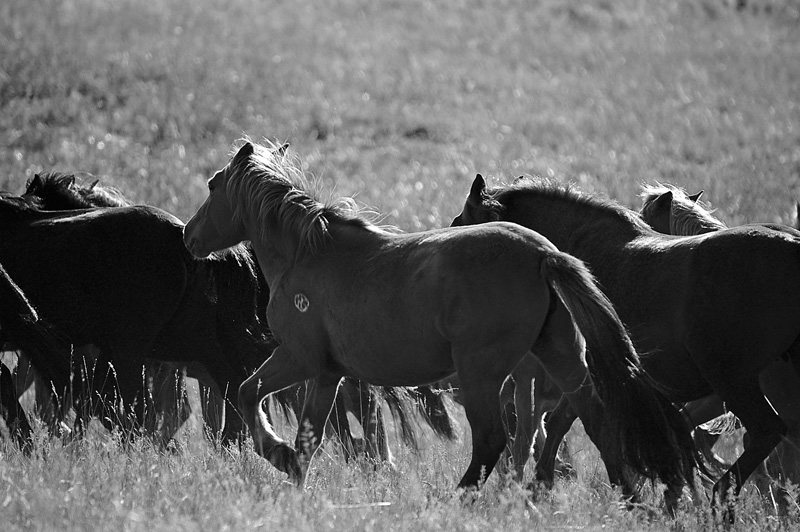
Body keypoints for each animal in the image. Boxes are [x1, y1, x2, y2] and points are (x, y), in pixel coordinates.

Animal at [183, 140, 700, 498]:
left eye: (212, 185)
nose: (189, 235)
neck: (307, 254)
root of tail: (543, 255)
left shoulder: (300, 359)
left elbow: (249, 393)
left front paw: (278, 454)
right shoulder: (328, 373)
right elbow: (308, 434)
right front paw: (293, 475)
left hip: (481, 373)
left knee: (493, 440)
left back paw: (460, 498)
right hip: (560, 359)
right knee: (593, 420)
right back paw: (630, 499)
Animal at [454, 175, 800, 516]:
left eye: (461, 222)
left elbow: (587, 427)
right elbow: (565, 423)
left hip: (732, 378)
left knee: (766, 432)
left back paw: (721, 496)